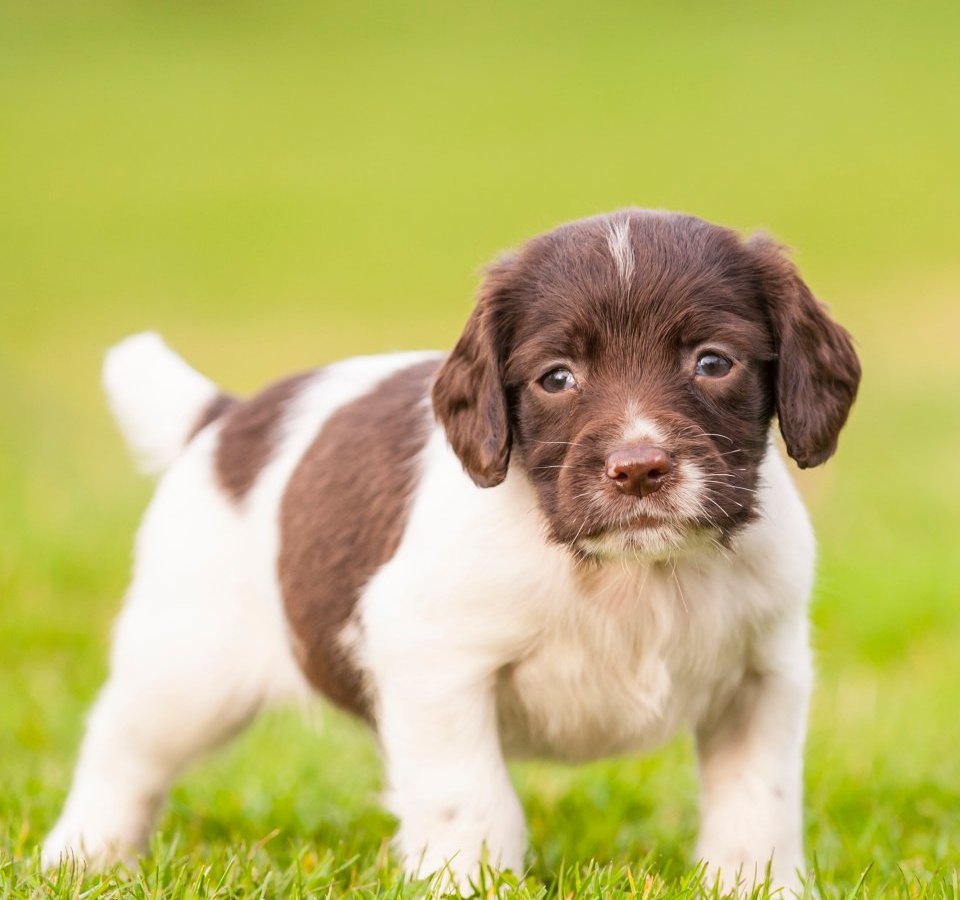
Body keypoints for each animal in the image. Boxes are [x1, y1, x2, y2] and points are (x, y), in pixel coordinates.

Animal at [43, 209, 864, 892]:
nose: (638, 469)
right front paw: (468, 882)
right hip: (186, 670)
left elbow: (758, 806)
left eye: (713, 362)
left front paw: (759, 885)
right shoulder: (434, 663)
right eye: (557, 378)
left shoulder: (764, 675)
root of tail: (226, 419)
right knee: (122, 752)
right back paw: (83, 855)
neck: (624, 573)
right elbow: (470, 801)